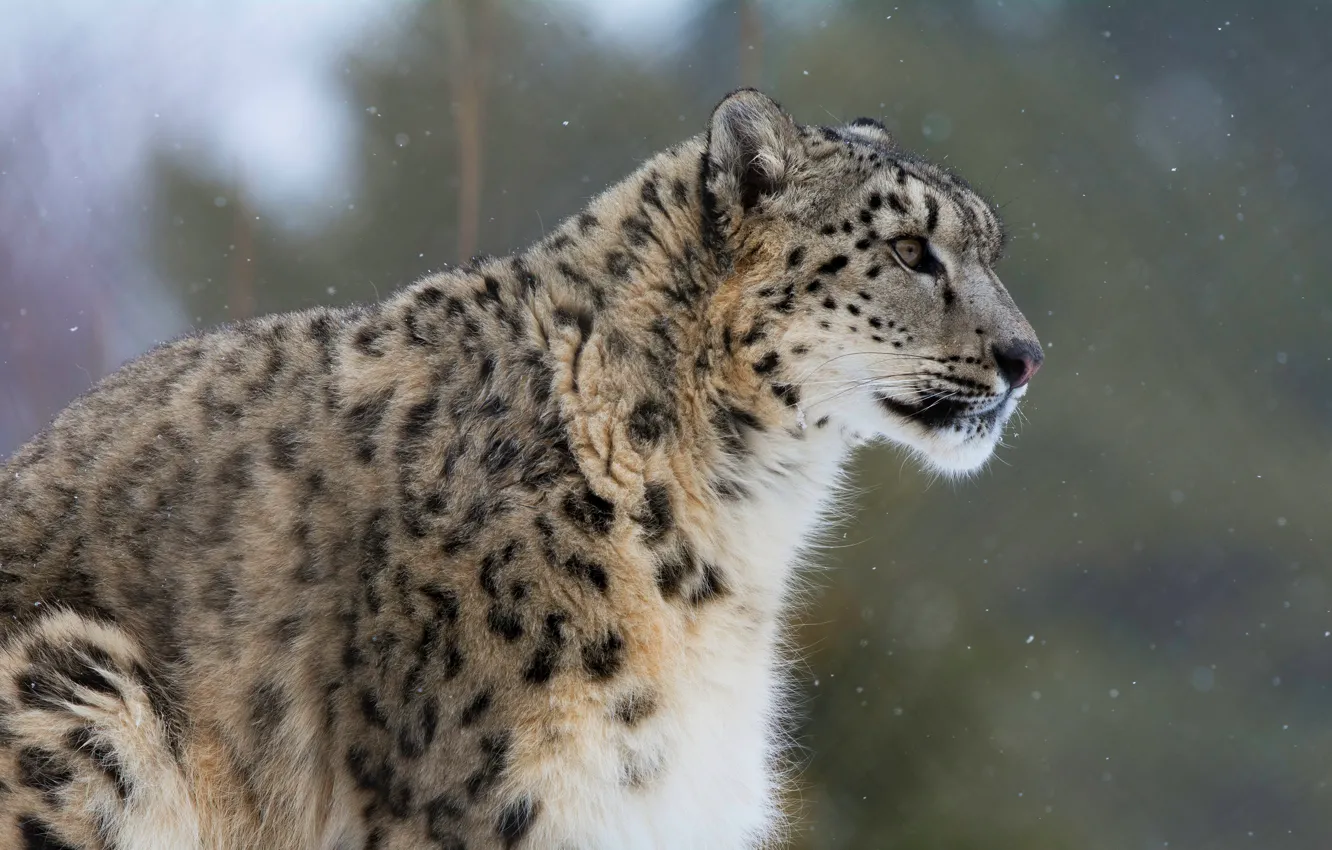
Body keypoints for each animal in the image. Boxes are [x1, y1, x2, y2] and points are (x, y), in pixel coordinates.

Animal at [0, 89, 1042, 850]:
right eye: (908, 248)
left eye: (987, 245)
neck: (743, 530)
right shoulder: (489, 799)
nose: (1026, 355)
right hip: (74, 692)